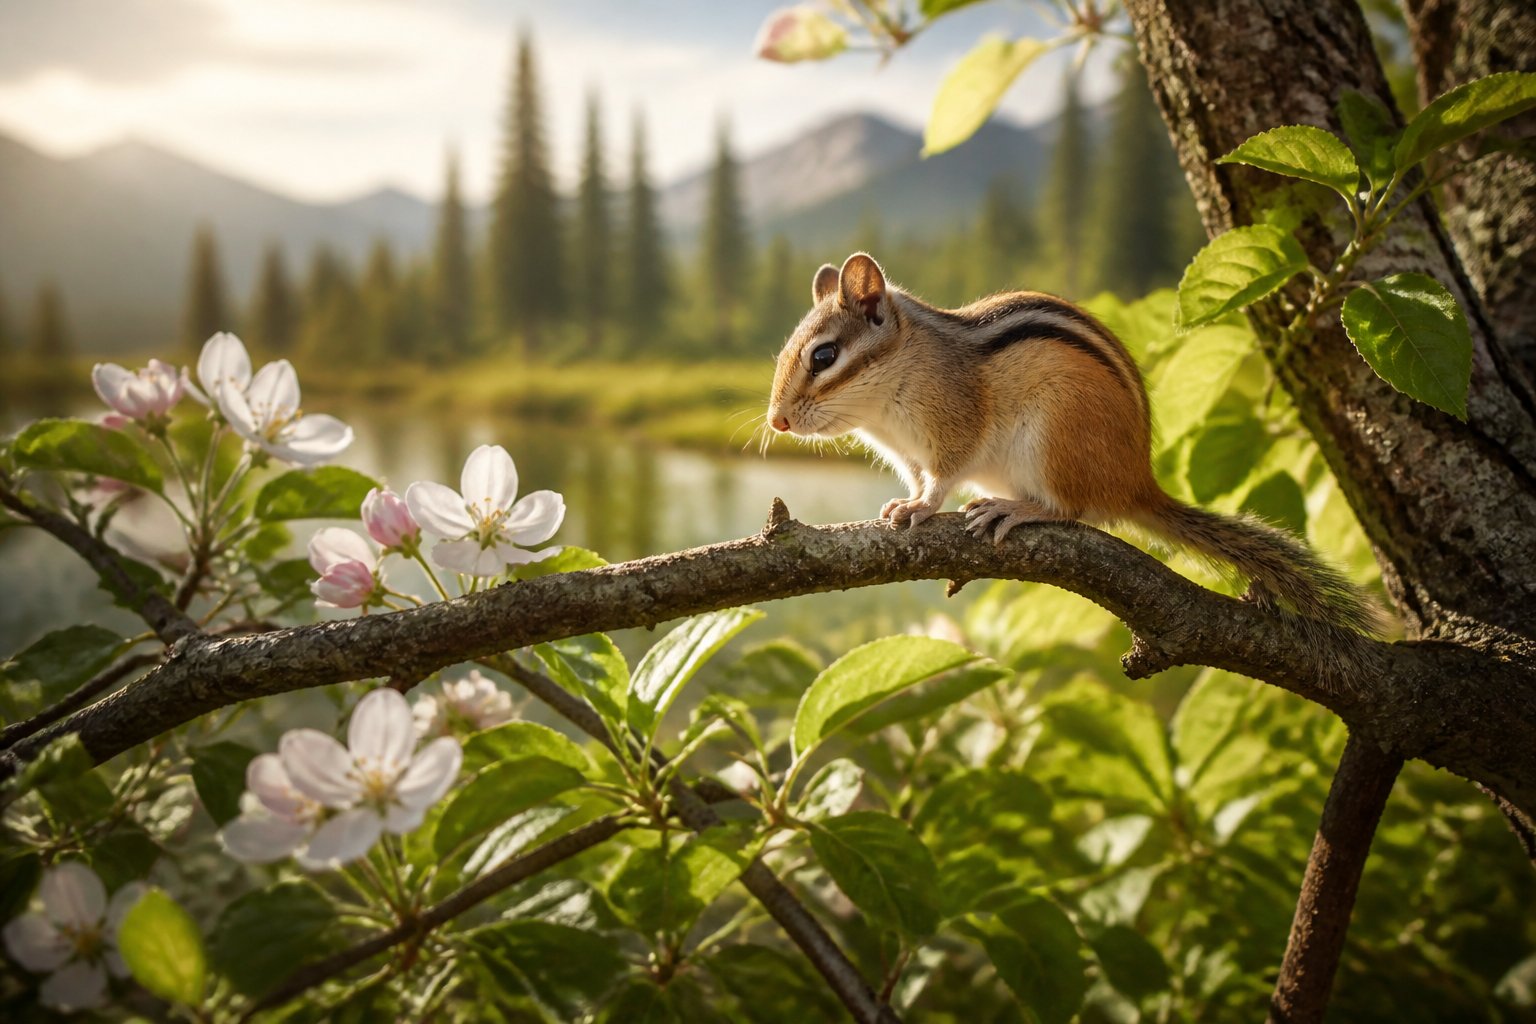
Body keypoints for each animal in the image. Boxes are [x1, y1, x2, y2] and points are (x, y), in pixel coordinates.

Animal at [766, 251, 1385, 640]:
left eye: (824, 356)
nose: (777, 422)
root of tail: (1137, 484)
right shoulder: (908, 454)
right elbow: (919, 478)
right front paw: (903, 502)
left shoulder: (952, 426)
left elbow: (944, 476)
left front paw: (923, 507)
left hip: (1054, 437)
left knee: (1073, 509)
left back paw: (1016, 508)